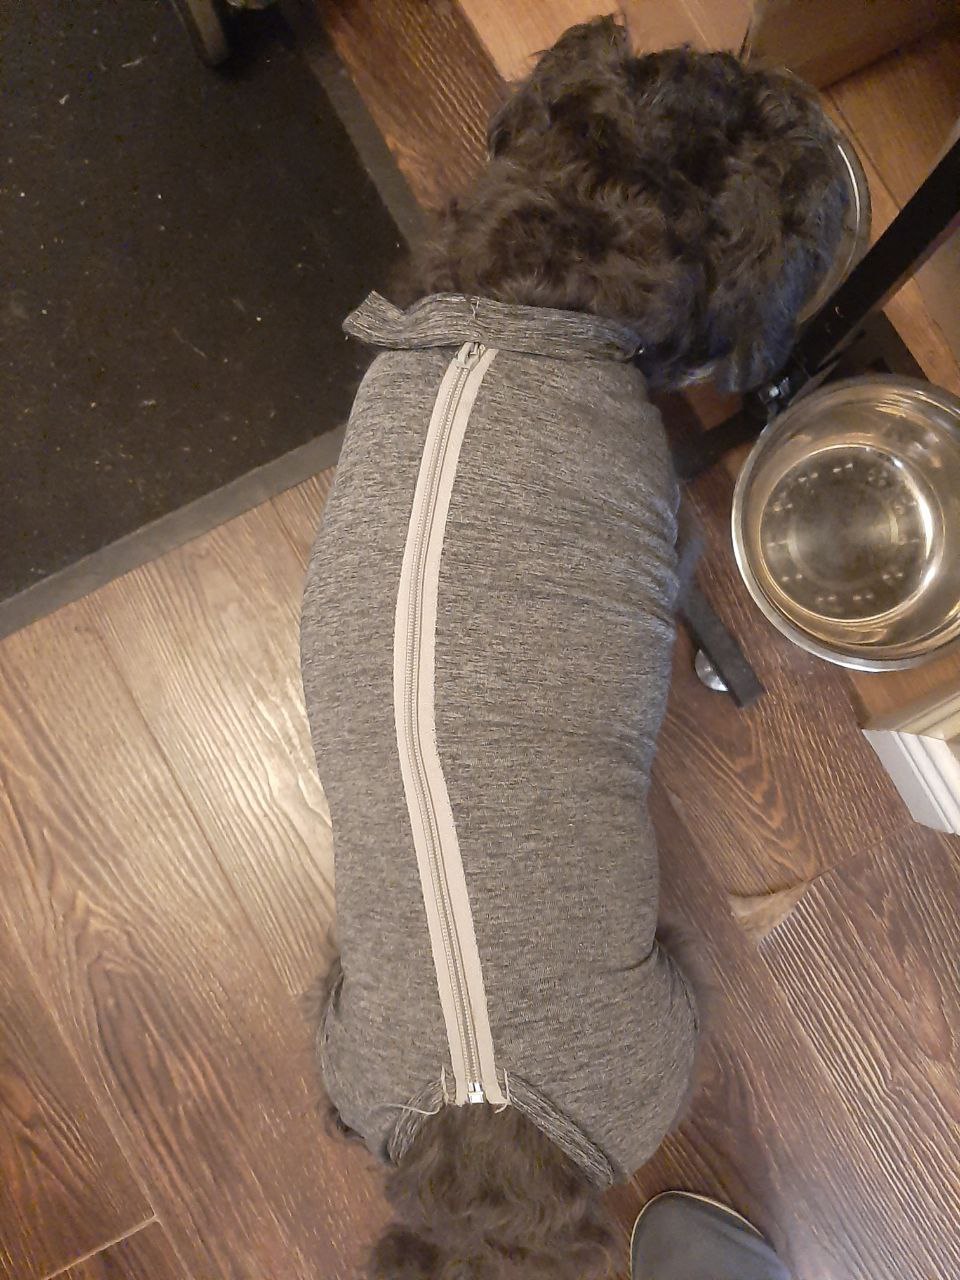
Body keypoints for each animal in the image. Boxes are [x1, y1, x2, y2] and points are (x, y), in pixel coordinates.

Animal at [300, 18, 848, 1280]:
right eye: (780, 150)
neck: (529, 296)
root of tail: (482, 1152)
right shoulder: (674, 534)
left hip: (335, 1024)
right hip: (675, 1012)